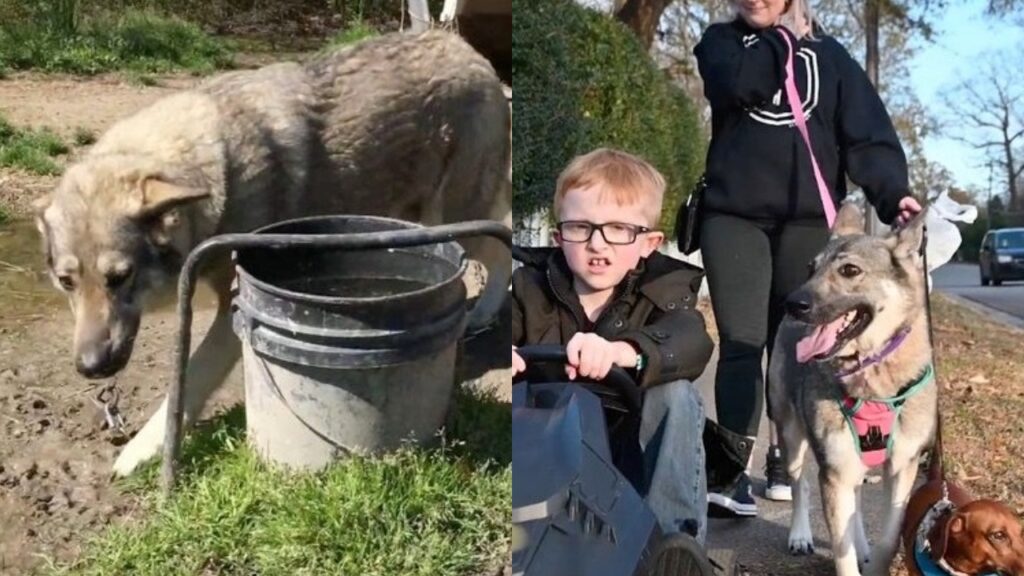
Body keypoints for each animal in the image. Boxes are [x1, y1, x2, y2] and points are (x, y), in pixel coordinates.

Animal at [32, 29, 512, 473]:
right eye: (66, 282)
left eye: (119, 277)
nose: (90, 367)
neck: (216, 172)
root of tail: (462, 46)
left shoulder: (232, 311)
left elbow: (189, 380)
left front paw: (140, 450)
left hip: (452, 220)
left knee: (499, 248)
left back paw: (485, 313)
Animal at [770, 202, 937, 573]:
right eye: (811, 268)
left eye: (849, 270)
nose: (793, 304)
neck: (872, 371)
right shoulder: (835, 472)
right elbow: (841, 551)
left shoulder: (902, 468)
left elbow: (889, 538)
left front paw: (873, 560)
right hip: (790, 434)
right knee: (799, 484)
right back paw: (799, 534)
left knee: (857, 500)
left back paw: (861, 544)